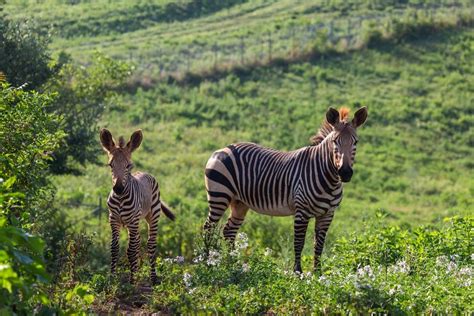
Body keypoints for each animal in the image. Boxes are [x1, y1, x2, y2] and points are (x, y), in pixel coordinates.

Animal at [100, 128, 176, 284]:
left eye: (128, 165)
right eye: (110, 165)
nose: (118, 189)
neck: (121, 199)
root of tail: (145, 173)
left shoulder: (132, 221)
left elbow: (130, 250)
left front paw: (131, 281)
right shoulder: (113, 220)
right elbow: (114, 248)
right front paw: (112, 279)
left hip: (152, 216)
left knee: (150, 245)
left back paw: (153, 278)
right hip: (134, 222)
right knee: (137, 243)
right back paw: (138, 271)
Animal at [202, 105, 368, 272]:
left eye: (356, 142)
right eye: (334, 142)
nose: (345, 173)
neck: (328, 179)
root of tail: (224, 148)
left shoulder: (328, 214)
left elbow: (319, 245)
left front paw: (317, 273)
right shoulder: (302, 211)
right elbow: (299, 243)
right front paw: (298, 273)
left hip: (240, 202)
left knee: (229, 230)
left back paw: (232, 264)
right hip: (219, 195)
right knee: (208, 228)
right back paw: (206, 264)